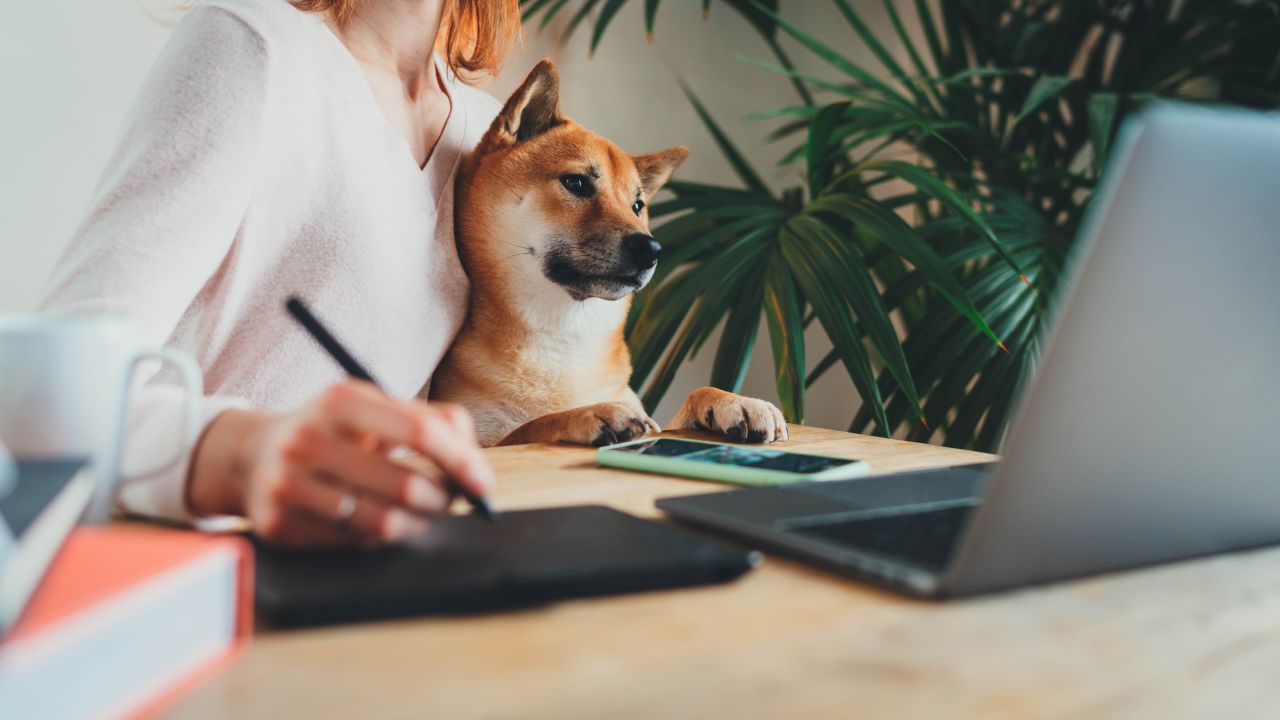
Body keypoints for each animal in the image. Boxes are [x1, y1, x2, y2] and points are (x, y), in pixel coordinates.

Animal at [430, 58, 783, 445]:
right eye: (576, 182)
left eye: (638, 205)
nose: (651, 248)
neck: (565, 339)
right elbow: (530, 427)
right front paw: (588, 413)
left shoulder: (650, 416)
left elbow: (685, 404)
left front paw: (733, 402)